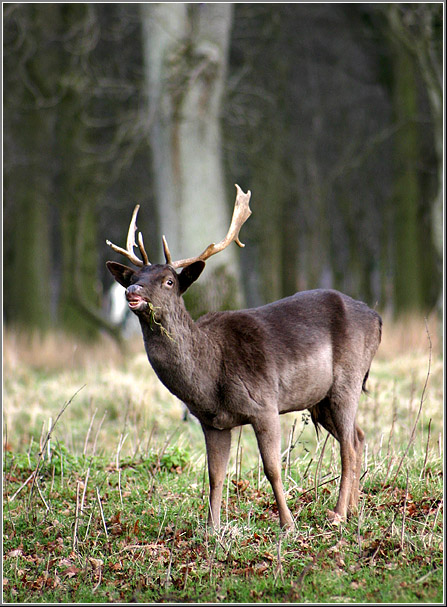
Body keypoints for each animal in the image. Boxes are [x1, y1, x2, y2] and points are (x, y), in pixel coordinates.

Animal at [105, 185, 382, 532]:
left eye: (169, 281)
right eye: (135, 276)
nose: (132, 292)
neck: (210, 377)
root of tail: (376, 317)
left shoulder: (264, 404)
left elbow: (272, 468)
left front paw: (288, 525)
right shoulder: (211, 422)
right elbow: (214, 475)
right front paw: (212, 530)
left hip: (348, 379)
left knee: (347, 446)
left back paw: (338, 514)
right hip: (319, 399)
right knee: (359, 437)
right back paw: (355, 509)